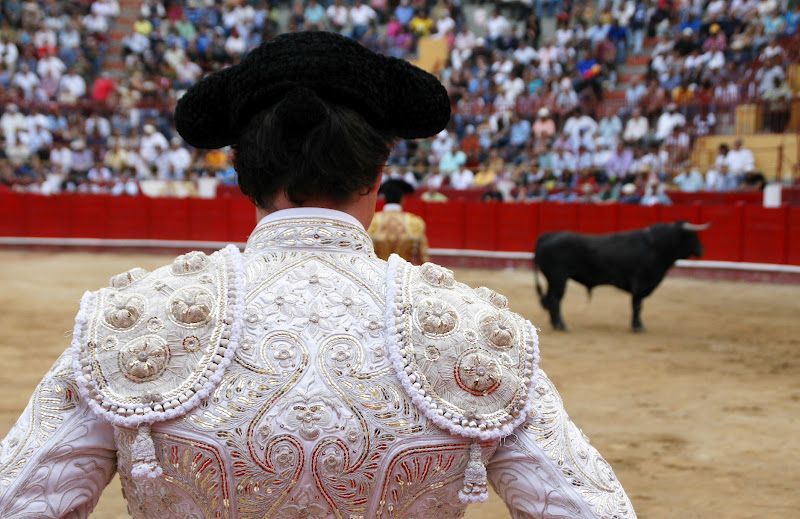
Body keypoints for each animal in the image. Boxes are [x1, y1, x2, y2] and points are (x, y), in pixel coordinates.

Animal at [532, 221, 708, 332]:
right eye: (692, 236)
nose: (701, 251)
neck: (655, 246)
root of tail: (546, 235)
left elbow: (637, 305)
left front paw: (637, 325)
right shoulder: (641, 283)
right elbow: (637, 305)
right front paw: (638, 327)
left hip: (553, 279)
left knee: (551, 299)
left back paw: (555, 324)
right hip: (558, 278)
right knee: (555, 299)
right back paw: (562, 326)